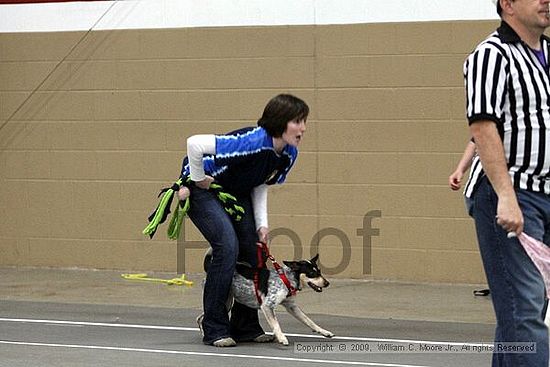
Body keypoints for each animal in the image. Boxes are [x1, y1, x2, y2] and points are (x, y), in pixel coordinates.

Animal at [199, 252, 334, 346]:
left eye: (320, 271)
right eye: (312, 273)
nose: (327, 283)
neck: (285, 279)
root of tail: (209, 267)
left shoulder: (291, 306)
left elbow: (309, 320)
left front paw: (324, 331)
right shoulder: (267, 305)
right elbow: (276, 324)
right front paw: (282, 338)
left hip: (227, 302)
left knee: (200, 317)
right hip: (224, 300)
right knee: (203, 317)